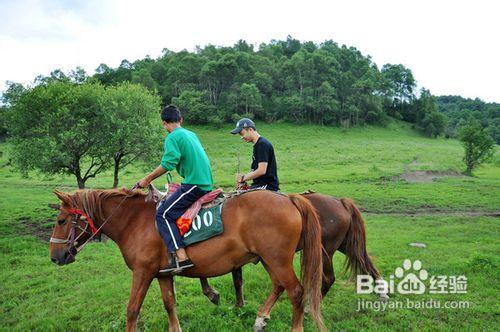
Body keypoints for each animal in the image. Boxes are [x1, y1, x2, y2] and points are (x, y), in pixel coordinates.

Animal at [49, 189, 324, 332]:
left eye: (61, 220)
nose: (54, 256)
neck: (135, 221)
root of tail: (288, 198)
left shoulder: (143, 272)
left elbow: (132, 310)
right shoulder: (162, 274)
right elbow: (169, 304)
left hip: (277, 260)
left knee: (296, 292)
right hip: (269, 259)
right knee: (279, 286)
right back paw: (261, 318)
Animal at [197, 192, 384, 316]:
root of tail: (340, 201)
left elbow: (233, 279)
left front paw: (222, 298)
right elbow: (234, 279)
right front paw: (234, 303)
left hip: (325, 252)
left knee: (329, 279)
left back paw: (309, 308)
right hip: (345, 246)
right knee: (366, 262)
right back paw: (382, 292)